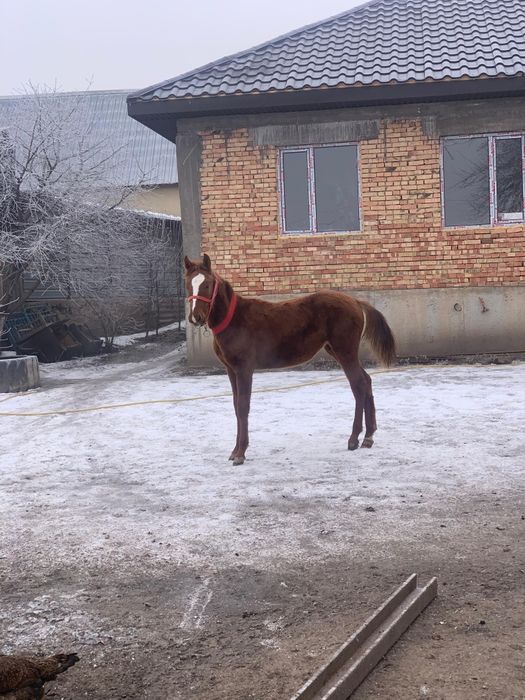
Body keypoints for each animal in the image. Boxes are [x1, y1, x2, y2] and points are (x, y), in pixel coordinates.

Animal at [184, 254, 396, 465]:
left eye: (207, 284)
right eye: (188, 283)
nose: (196, 317)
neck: (234, 319)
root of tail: (356, 301)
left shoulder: (244, 369)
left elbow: (243, 406)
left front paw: (240, 453)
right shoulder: (230, 369)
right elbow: (236, 406)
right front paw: (235, 450)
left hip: (345, 352)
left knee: (358, 385)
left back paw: (354, 439)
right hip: (337, 351)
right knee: (366, 381)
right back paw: (368, 437)